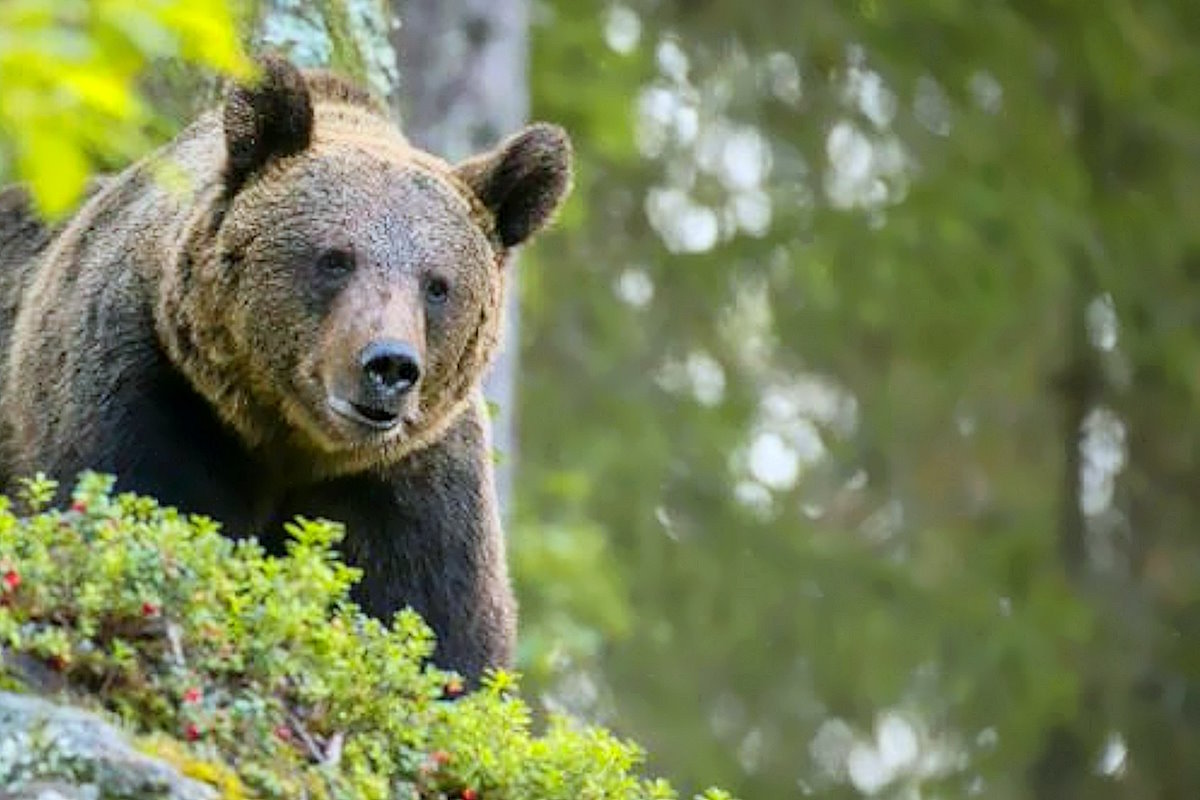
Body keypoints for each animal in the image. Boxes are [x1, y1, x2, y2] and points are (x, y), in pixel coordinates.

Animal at [0, 56, 571, 681]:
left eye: (438, 285)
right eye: (335, 258)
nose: (390, 365)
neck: (290, 442)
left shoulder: (413, 483)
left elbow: (439, 635)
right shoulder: (145, 390)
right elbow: (131, 506)